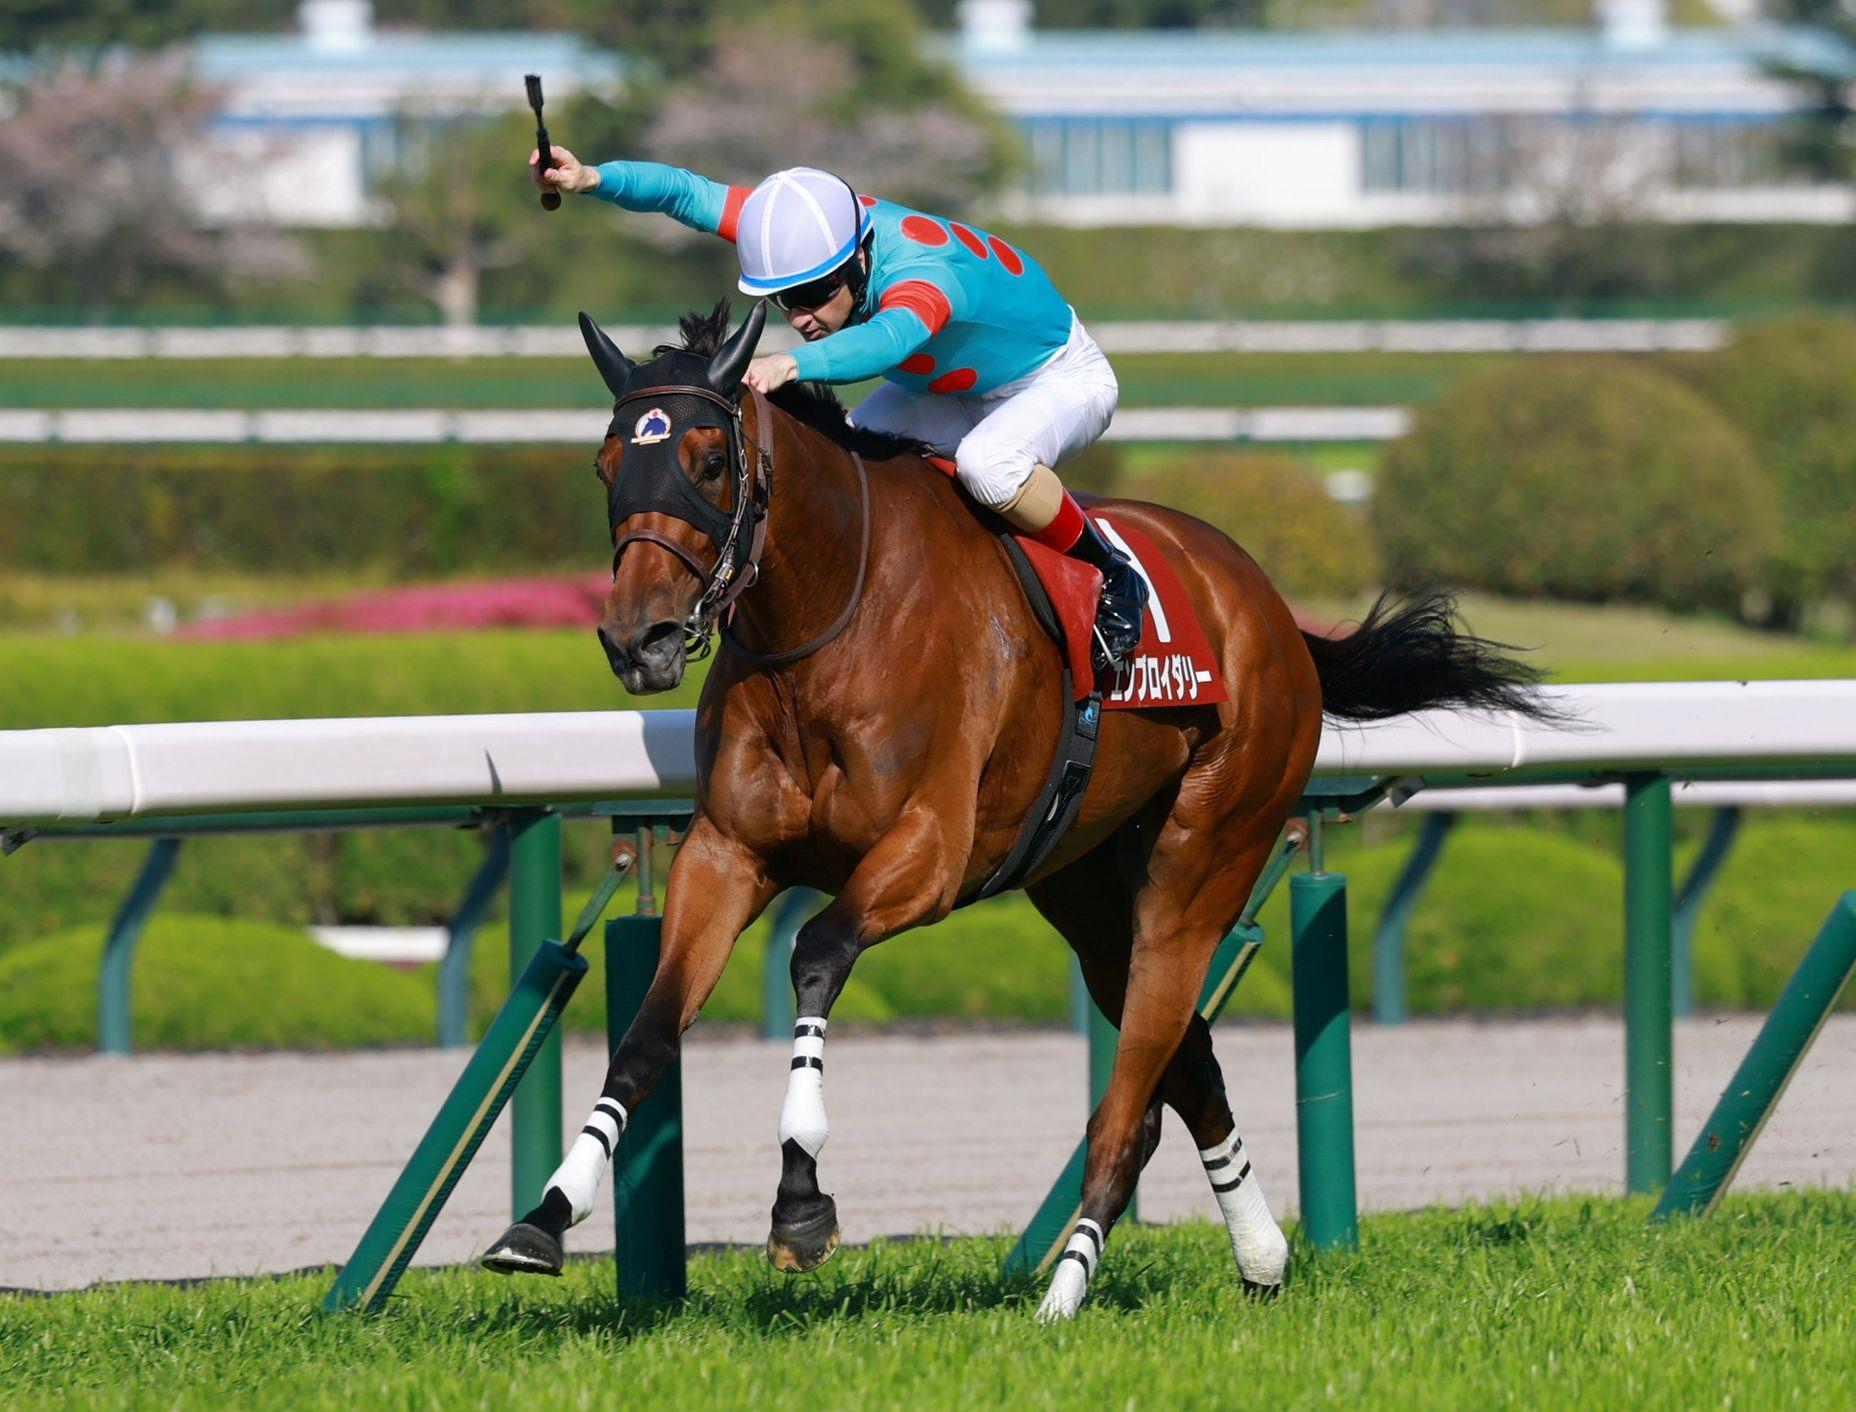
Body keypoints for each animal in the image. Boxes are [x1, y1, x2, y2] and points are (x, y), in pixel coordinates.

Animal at [482, 300, 1550, 1319]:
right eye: (605, 464)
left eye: (709, 461)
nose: (640, 640)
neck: (828, 619)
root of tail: (1272, 611)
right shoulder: (727, 852)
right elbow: (646, 1031)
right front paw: (545, 1214)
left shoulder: (929, 854)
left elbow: (817, 950)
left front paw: (800, 1202)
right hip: (1085, 890)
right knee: (1187, 1064)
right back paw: (1261, 1258)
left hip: (1204, 855)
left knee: (1132, 1100)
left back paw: (1064, 1292)